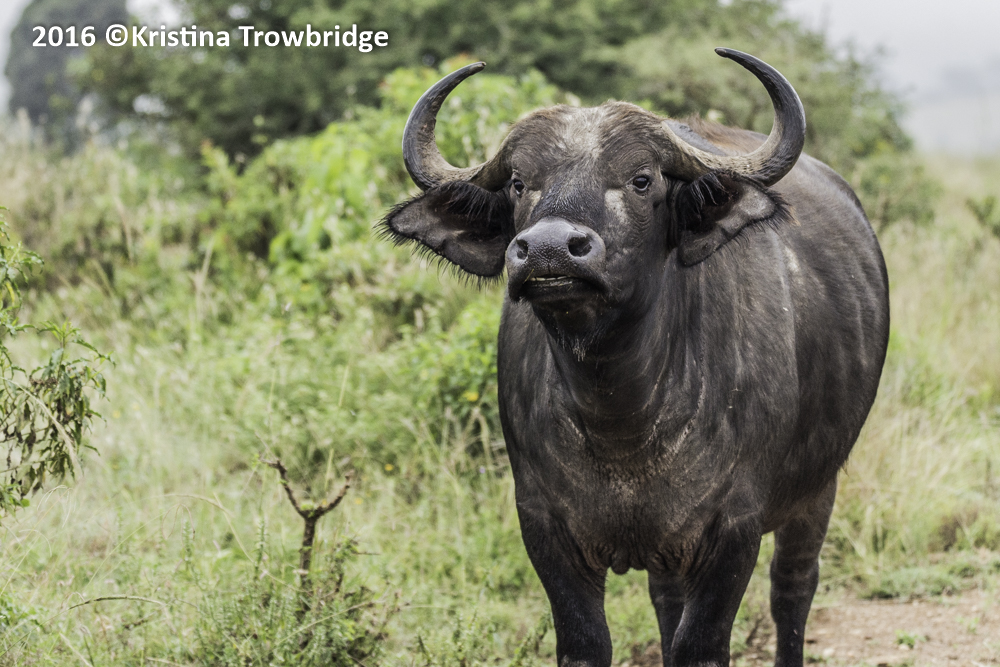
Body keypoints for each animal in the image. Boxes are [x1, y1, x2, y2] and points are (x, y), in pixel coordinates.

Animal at [383, 49, 889, 667]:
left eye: (641, 179)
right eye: (521, 183)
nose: (548, 249)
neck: (622, 416)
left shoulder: (734, 530)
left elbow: (702, 643)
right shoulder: (543, 526)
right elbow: (588, 642)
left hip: (818, 489)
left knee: (793, 590)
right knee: (667, 603)